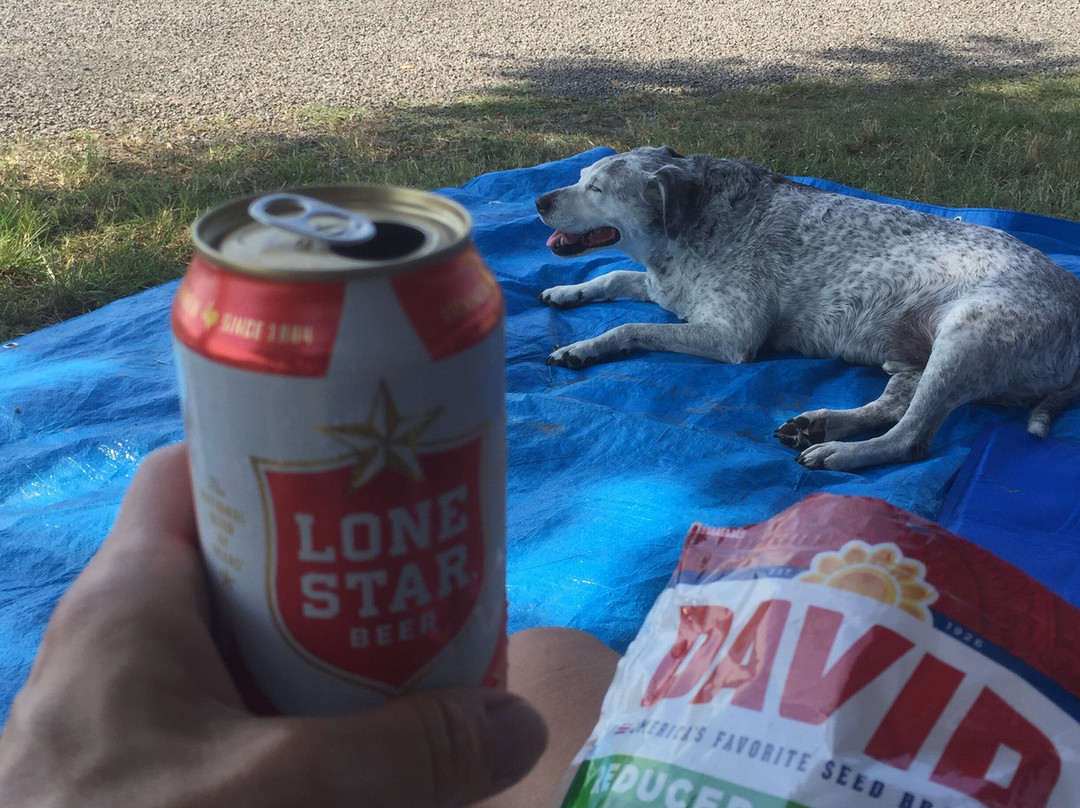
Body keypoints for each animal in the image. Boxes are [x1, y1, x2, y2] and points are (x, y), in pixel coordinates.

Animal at [533, 147, 1080, 470]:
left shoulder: (731, 338)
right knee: (895, 403)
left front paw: (586, 344)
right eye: (578, 175)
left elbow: (629, 325)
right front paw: (567, 296)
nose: (538, 200)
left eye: (596, 189)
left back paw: (839, 449)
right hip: (913, 359)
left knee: (910, 437)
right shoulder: (666, 290)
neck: (692, 220)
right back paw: (818, 424)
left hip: (962, 340)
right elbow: (610, 278)